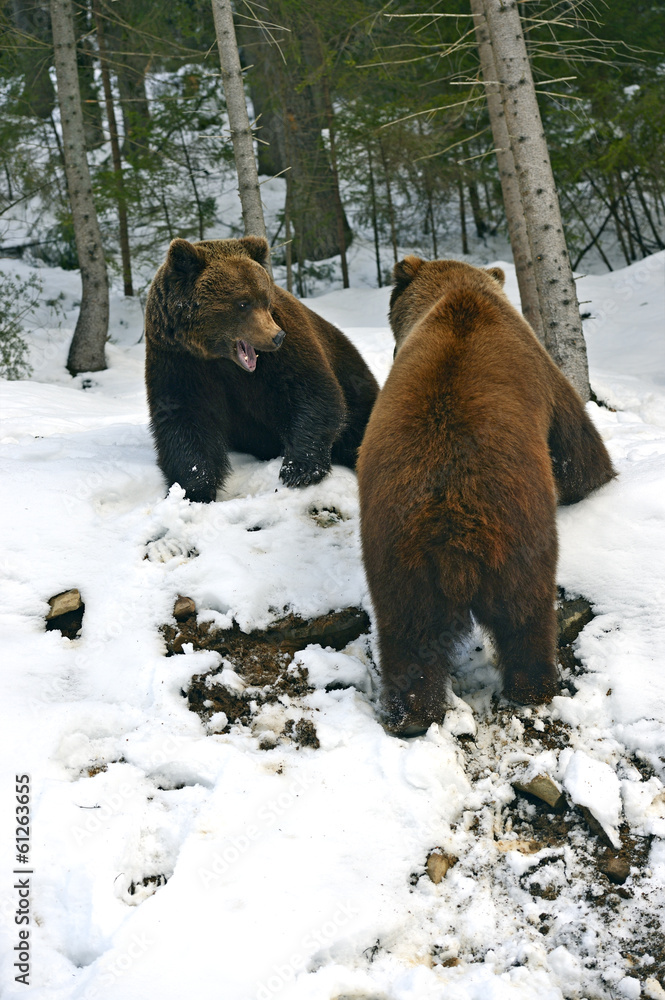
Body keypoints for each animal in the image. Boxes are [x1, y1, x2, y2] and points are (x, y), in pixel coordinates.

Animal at [144, 236, 379, 502]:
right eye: (242, 303)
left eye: (266, 299)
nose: (276, 336)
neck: (220, 358)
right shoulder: (178, 359)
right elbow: (184, 417)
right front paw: (193, 489)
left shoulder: (284, 351)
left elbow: (312, 391)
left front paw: (298, 469)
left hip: (355, 380)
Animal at [356, 256, 615, 735]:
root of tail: (452, 528)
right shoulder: (543, 373)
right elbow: (578, 448)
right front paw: (599, 480)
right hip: (519, 535)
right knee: (525, 618)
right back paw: (534, 686)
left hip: (396, 551)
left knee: (407, 635)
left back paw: (410, 714)